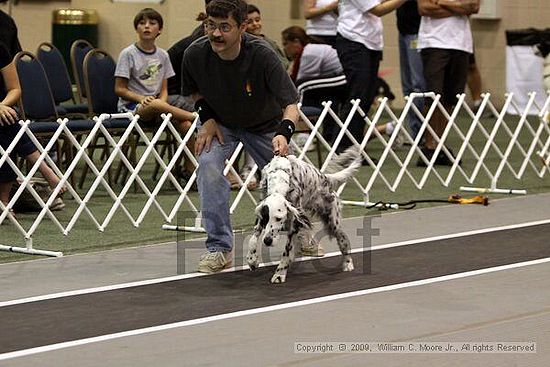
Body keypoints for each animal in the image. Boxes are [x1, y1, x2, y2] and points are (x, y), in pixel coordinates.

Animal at [247, 149, 362, 284]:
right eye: (266, 219)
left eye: (279, 218)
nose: (267, 241)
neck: (280, 172)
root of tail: (327, 178)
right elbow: (253, 238)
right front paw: (252, 259)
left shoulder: (294, 223)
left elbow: (286, 252)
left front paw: (279, 274)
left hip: (333, 223)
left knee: (343, 241)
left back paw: (348, 263)